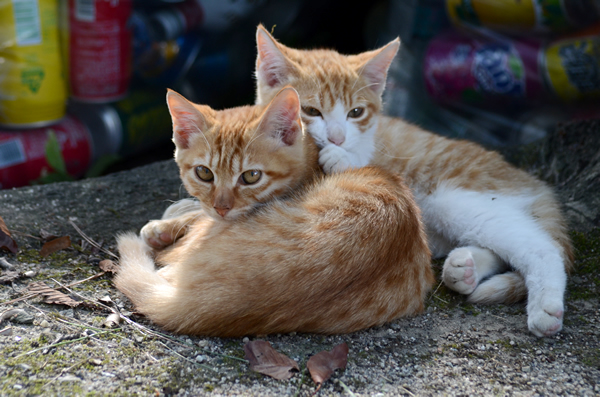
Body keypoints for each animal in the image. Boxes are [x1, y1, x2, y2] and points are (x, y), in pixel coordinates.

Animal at [113, 87, 432, 338]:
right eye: (204, 173)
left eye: (251, 176)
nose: (222, 207)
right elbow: (199, 210)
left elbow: (199, 217)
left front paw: (163, 225)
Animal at [253, 26, 572, 336]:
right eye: (311, 111)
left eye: (356, 113)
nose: (337, 138)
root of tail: (531, 180)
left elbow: (363, 163)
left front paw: (340, 157)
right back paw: (465, 268)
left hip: (452, 197)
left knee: (540, 245)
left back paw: (544, 308)